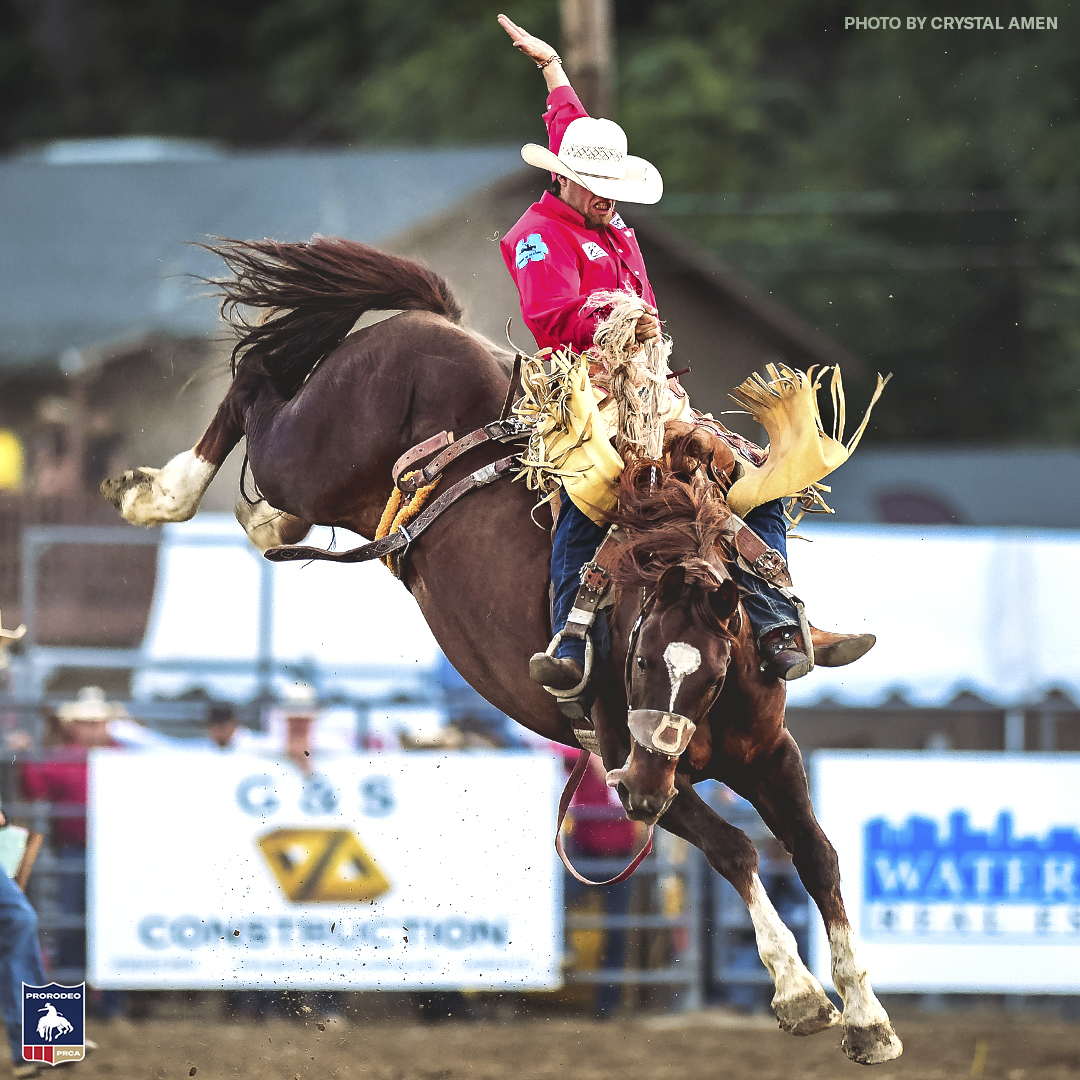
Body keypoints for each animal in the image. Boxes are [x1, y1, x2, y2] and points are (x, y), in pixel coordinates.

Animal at [103, 236, 902, 1062]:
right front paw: (800, 992)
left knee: (270, 449)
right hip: (307, 450)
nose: (645, 798)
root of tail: (430, 326)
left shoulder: (768, 751)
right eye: (639, 660)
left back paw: (261, 522)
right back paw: (156, 494)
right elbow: (739, 849)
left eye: (713, 674)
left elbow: (817, 854)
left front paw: (868, 1015)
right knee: (255, 382)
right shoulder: (619, 755)